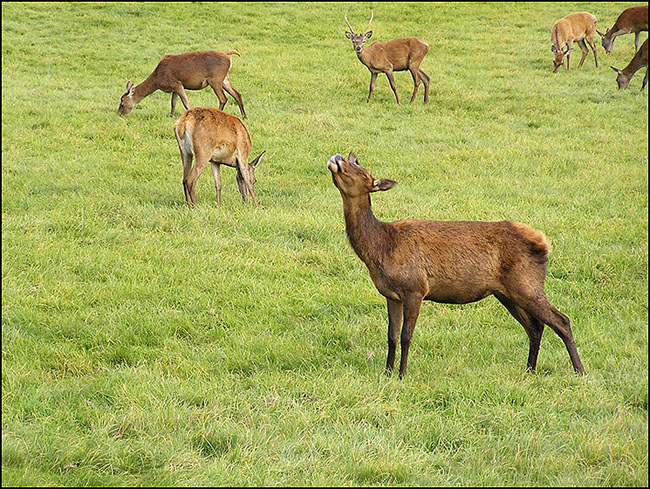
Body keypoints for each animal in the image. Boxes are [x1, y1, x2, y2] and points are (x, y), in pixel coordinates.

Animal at [116, 49, 246, 118]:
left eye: (122, 102)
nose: (118, 113)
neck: (157, 80)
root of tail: (228, 56)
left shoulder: (176, 83)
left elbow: (186, 103)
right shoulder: (174, 88)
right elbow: (173, 103)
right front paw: (171, 116)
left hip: (215, 79)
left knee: (223, 98)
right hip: (225, 79)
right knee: (237, 94)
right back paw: (244, 116)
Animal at [326, 152, 584, 378]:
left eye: (364, 173)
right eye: (355, 164)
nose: (337, 157)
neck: (380, 248)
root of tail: (543, 243)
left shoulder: (415, 288)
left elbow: (406, 335)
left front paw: (401, 374)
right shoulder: (391, 294)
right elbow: (391, 335)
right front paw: (387, 372)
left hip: (527, 284)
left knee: (561, 320)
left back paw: (580, 372)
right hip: (507, 293)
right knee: (535, 327)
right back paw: (530, 370)